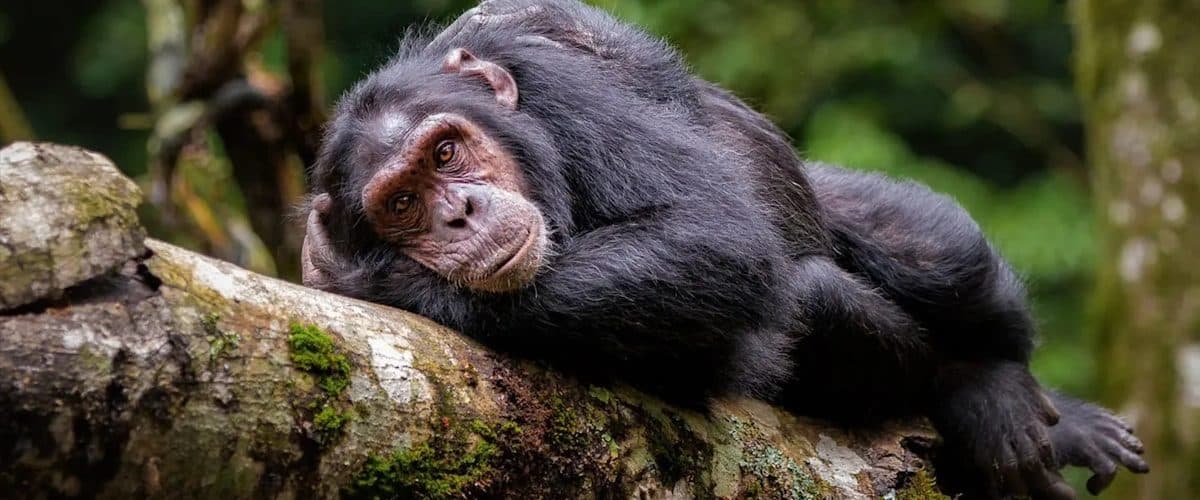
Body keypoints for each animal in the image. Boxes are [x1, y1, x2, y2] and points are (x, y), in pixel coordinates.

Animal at [301, 1, 1147, 497]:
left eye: (446, 153)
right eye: (403, 204)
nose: (458, 214)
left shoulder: (564, 92)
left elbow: (711, 234)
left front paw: (392, 284)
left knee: (937, 251)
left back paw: (1015, 398)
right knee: (820, 297)